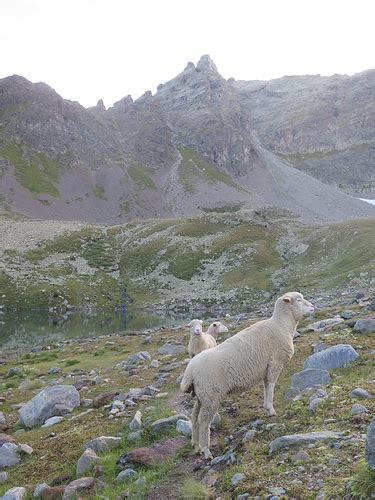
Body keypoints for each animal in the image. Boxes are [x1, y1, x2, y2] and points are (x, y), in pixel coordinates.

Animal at [181, 292, 314, 458]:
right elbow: (271, 386)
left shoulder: (266, 368)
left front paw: (266, 407)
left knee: (194, 417)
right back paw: (206, 450)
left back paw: (196, 445)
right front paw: (271, 410)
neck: (282, 325)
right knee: (203, 421)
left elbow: (266, 386)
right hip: (211, 395)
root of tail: (190, 371)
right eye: (299, 299)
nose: (313, 307)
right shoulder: (275, 363)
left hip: (202, 395)